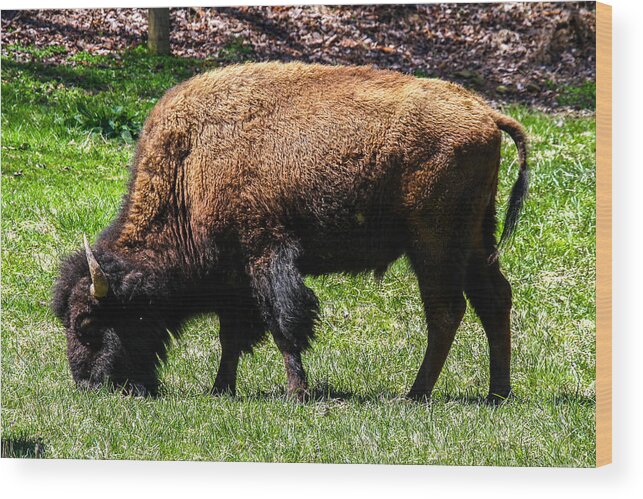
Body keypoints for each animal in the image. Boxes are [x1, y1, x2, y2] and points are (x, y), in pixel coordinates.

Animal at [54, 61, 528, 402]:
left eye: (87, 321)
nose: (90, 386)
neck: (189, 167)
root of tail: (486, 114)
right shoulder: (235, 277)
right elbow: (233, 337)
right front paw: (221, 389)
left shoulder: (267, 256)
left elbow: (285, 326)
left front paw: (296, 393)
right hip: (476, 239)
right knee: (493, 299)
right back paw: (496, 394)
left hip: (433, 244)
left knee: (446, 311)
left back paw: (414, 394)